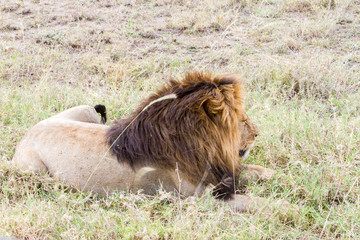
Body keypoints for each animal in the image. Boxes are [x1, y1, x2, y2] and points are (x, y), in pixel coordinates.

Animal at [12, 72, 286, 213]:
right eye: (242, 119)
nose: (258, 133)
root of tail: (28, 133)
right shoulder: (202, 197)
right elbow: (258, 202)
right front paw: (287, 209)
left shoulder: (222, 172)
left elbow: (254, 171)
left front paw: (279, 176)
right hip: (33, 170)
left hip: (86, 111)